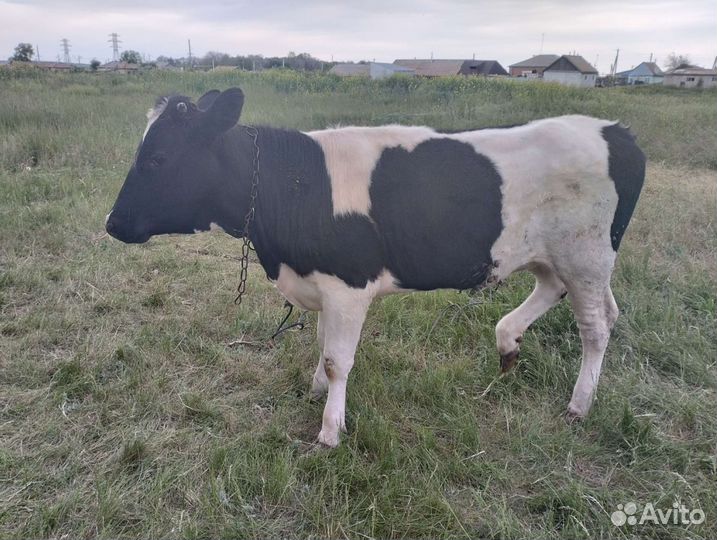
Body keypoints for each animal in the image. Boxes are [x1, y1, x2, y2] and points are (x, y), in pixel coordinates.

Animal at [106, 87, 645, 447]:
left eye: (157, 158)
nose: (112, 223)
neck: (296, 185)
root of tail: (614, 130)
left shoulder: (348, 286)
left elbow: (336, 358)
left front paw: (329, 430)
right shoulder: (321, 284)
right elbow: (321, 344)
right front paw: (315, 392)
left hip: (586, 255)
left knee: (596, 326)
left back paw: (578, 404)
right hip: (554, 255)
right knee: (567, 295)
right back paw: (508, 341)